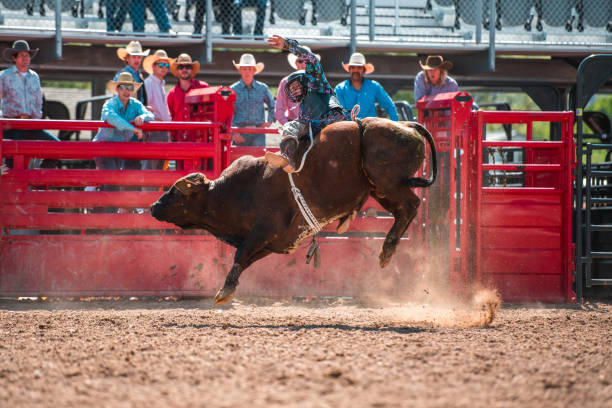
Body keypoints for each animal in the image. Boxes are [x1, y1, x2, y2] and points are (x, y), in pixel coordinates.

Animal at [151, 116, 438, 304]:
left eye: (175, 192)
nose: (153, 207)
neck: (232, 192)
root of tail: (407, 125)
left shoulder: (264, 229)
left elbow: (240, 254)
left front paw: (224, 291)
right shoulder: (275, 242)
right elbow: (245, 259)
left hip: (386, 182)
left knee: (410, 206)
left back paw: (387, 249)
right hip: (381, 189)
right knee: (404, 210)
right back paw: (386, 251)